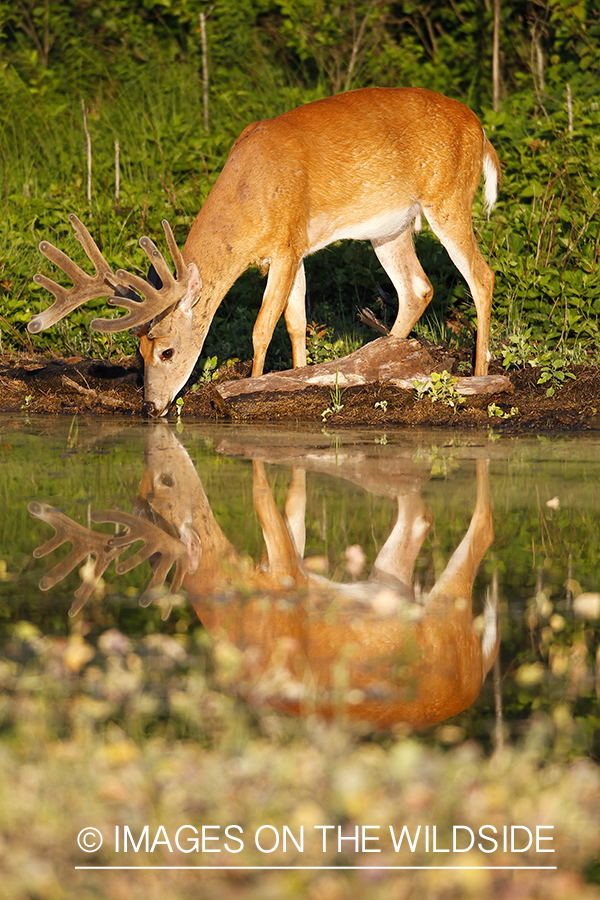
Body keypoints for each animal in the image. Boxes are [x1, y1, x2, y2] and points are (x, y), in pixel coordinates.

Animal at [28, 84, 500, 414]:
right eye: (138, 351)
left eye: (167, 350)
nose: (149, 406)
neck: (249, 193)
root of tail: (481, 131)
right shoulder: (295, 250)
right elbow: (296, 322)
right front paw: (300, 377)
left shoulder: (287, 243)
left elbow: (261, 328)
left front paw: (248, 388)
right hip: (390, 227)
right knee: (417, 288)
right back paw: (378, 362)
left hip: (449, 196)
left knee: (481, 275)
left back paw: (479, 375)